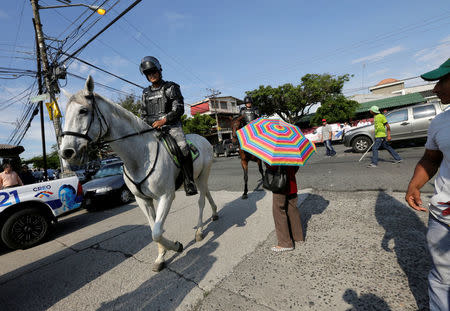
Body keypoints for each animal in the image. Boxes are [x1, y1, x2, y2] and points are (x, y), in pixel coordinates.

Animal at [60, 77, 219, 272]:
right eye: (65, 114)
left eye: (83, 111)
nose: (67, 152)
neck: (139, 157)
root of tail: (204, 139)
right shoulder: (142, 200)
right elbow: (153, 228)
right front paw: (161, 257)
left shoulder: (167, 196)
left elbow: (156, 232)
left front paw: (176, 246)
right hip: (198, 177)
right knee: (207, 193)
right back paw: (214, 213)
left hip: (202, 175)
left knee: (201, 200)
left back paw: (199, 231)